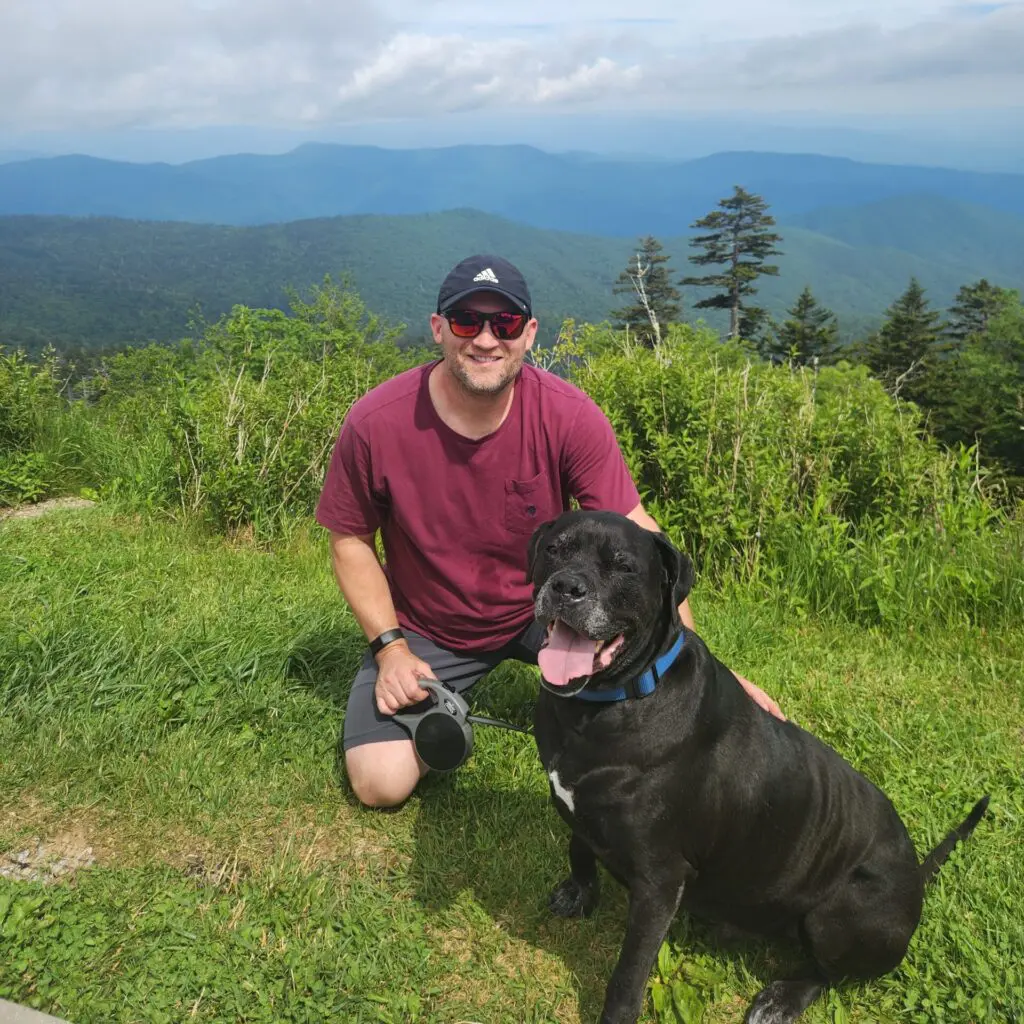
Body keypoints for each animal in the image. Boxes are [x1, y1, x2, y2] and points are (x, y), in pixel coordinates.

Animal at [528, 512, 983, 1024]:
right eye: (555, 549)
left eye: (622, 565)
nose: (567, 587)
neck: (610, 702)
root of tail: (915, 879)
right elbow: (579, 846)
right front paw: (580, 892)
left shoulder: (659, 882)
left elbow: (628, 974)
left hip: (838, 914)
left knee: (830, 972)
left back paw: (782, 997)